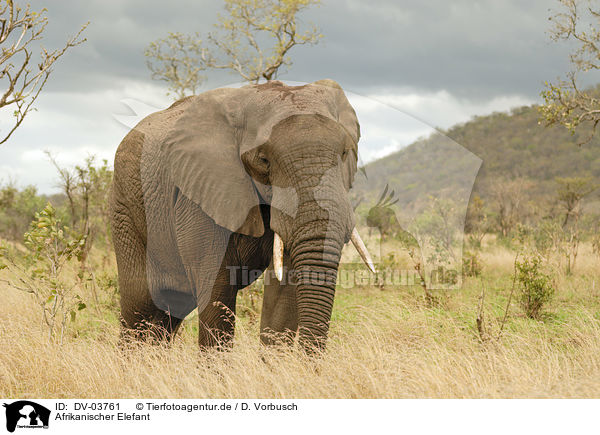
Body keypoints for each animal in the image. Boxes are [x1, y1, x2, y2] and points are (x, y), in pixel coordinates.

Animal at [109, 80, 376, 352]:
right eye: (263, 160)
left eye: (344, 153)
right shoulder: (198, 193)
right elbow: (216, 291)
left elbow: (283, 293)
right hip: (125, 208)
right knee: (138, 307)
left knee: (169, 312)